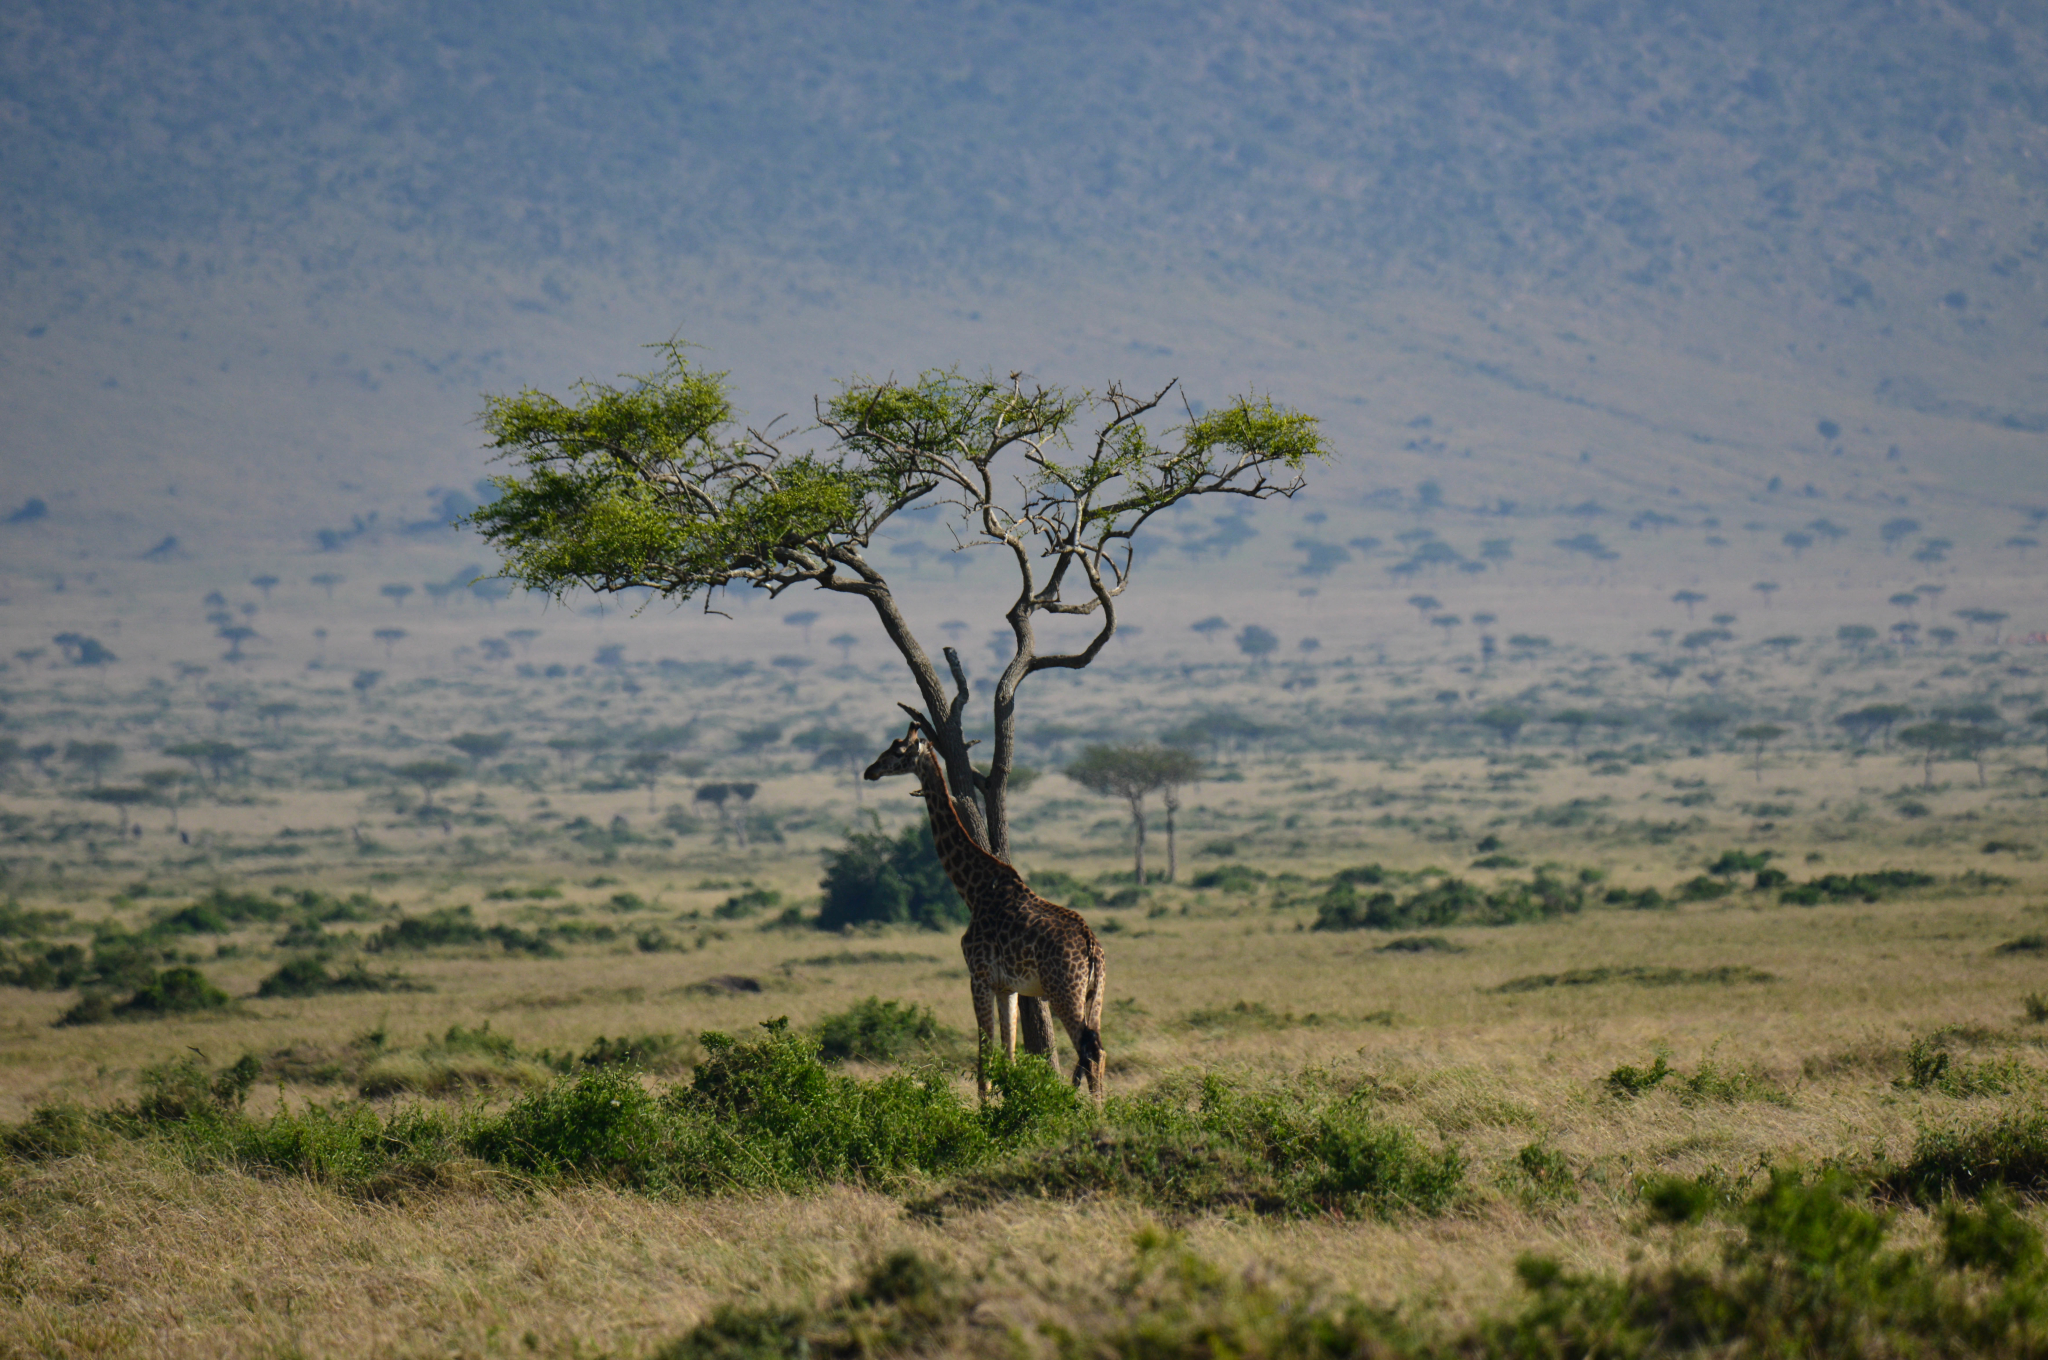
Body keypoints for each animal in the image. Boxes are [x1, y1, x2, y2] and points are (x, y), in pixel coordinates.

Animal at [872, 720, 1114, 1106]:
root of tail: (1092, 948)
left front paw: (985, 1114)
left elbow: (984, 1057)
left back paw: (1095, 1114)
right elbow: (1009, 1055)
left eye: (897, 751)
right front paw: (1010, 1105)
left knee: (1089, 1052)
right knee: (1098, 1050)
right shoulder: (1008, 987)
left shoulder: (979, 976)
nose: (870, 770)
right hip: (1096, 994)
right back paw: (1099, 1110)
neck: (974, 889)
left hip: (1065, 991)